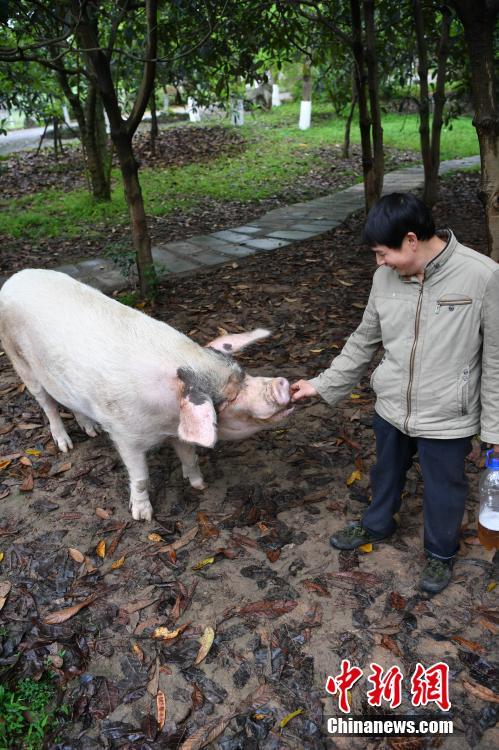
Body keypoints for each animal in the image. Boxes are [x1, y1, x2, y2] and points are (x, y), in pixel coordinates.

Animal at [0, 270, 292, 524]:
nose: (283, 383)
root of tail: (14, 279)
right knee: (47, 404)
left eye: (243, 374)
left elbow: (190, 456)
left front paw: (199, 485)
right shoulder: (125, 436)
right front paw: (143, 517)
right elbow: (140, 477)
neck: (165, 421)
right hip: (20, 362)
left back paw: (92, 431)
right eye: (229, 399)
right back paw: (66, 446)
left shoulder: (177, 431)